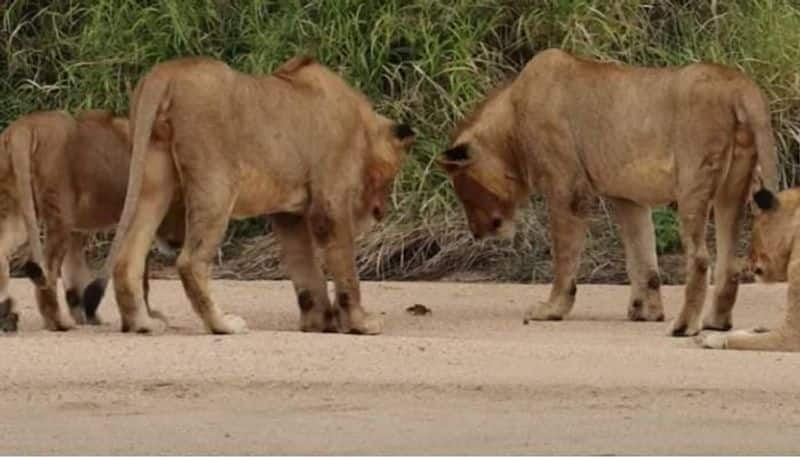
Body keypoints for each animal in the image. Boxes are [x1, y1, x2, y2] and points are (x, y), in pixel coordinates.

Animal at [0, 110, 184, 332]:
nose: (177, 243)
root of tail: (24, 128)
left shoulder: (77, 230)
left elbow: (75, 276)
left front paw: (88, 316)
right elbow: (141, 275)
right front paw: (147, 316)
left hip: (17, 213)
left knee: (2, 253)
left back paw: (7, 317)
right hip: (59, 216)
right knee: (48, 270)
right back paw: (58, 322)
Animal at [88, 56, 416, 334]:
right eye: (390, 178)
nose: (381, 212)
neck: (361, 126)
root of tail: (167, 71)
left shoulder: (287, 214)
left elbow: (305, 269)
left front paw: (319, 323)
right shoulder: (330, 205)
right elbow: (345, 269)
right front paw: (361, 324)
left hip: (154, 183)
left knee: (127, 258)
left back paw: (143, 324)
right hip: (216, 184)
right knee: (190, 261)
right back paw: (223, 325)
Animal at [440, 49, 780, 334]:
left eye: (464, 191)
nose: (476, 233)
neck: (511, 122)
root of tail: (739, 85)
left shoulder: (568, 190)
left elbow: (564, 256)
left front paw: (552, 309)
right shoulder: (628, 198)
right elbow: (642, 257)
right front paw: (646, 311)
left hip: (693, 182)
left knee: (699, 258)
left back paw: (684, 327)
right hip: (732, 189)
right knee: (729, 262)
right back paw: (715, 323)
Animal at [696, 187, 800, 350]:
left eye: (752, 233)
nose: (748, 260)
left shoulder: (792, 335)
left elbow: (741, 340)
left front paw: (713, 338)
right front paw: (759, 328)